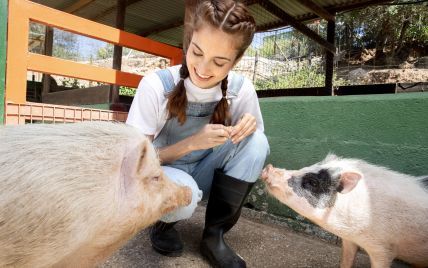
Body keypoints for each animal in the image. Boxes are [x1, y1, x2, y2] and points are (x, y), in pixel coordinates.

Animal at [260, 153, 428, 268]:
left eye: (313, 182)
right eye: (306, 167)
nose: (268, 168)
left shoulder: (384, 249)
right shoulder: (349, 240)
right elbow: (346, 259)